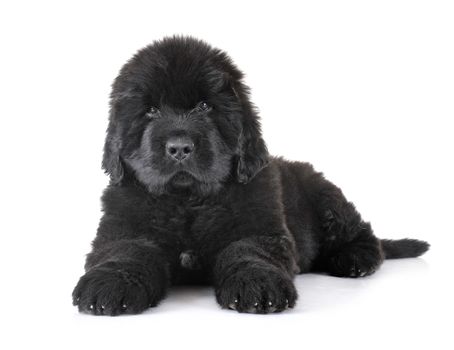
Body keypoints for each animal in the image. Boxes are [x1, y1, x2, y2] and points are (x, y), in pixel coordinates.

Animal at [72, 37, 430, 316]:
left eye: (205, 107)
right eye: (150, 110)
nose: (179, 147)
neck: (188, 201)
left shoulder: (259, 227)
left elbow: (248, 252)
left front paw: (257, 284)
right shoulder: (124, 227)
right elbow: (126, 252)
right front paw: (108, 283)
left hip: (327, 199)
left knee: (365, 235)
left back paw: (354, 258)